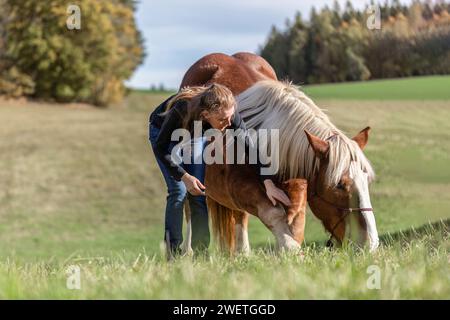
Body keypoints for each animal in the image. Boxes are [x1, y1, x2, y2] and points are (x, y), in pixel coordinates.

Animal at [178, 52, 378, 255]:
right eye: (339, 185)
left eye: (366, 180)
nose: (369, 244)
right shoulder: (238, 186)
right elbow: (274, 214)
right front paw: (290, 249)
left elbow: (294, 226)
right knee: (189, 210)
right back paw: (188, 251)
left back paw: (243, 253)